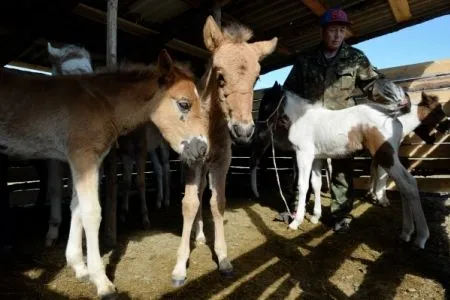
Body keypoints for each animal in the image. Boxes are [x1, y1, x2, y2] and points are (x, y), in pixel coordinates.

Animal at [0, 50, 207, 298]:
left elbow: (77, 208)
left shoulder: (86, 161)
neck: (101, 103)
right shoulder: (83, 157)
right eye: (184, 104)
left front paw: (79, 266)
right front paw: (101, 281)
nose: (202, 149)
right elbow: (91, 212)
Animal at [171, 15, 278, 284]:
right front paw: (179, 268)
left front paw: (224, 259)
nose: (243, 131)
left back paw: (200, 235)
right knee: (196, 195)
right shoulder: (193, 163)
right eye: (220, 76)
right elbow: (188, 204)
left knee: (202, 193)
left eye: (256, 79)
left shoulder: (221, 163)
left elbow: (217, 203)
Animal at [284, 91, 432, 248]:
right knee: (403, 186)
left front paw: (296, 222)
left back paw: (421, 237)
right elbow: (316, 184)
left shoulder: (303, 154)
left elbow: (303, 185)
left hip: (386, 157)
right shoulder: (317, 158)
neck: (302, 117)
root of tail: (393, 118)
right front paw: (315, 217)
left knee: (408, 184)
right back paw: (407, 232)